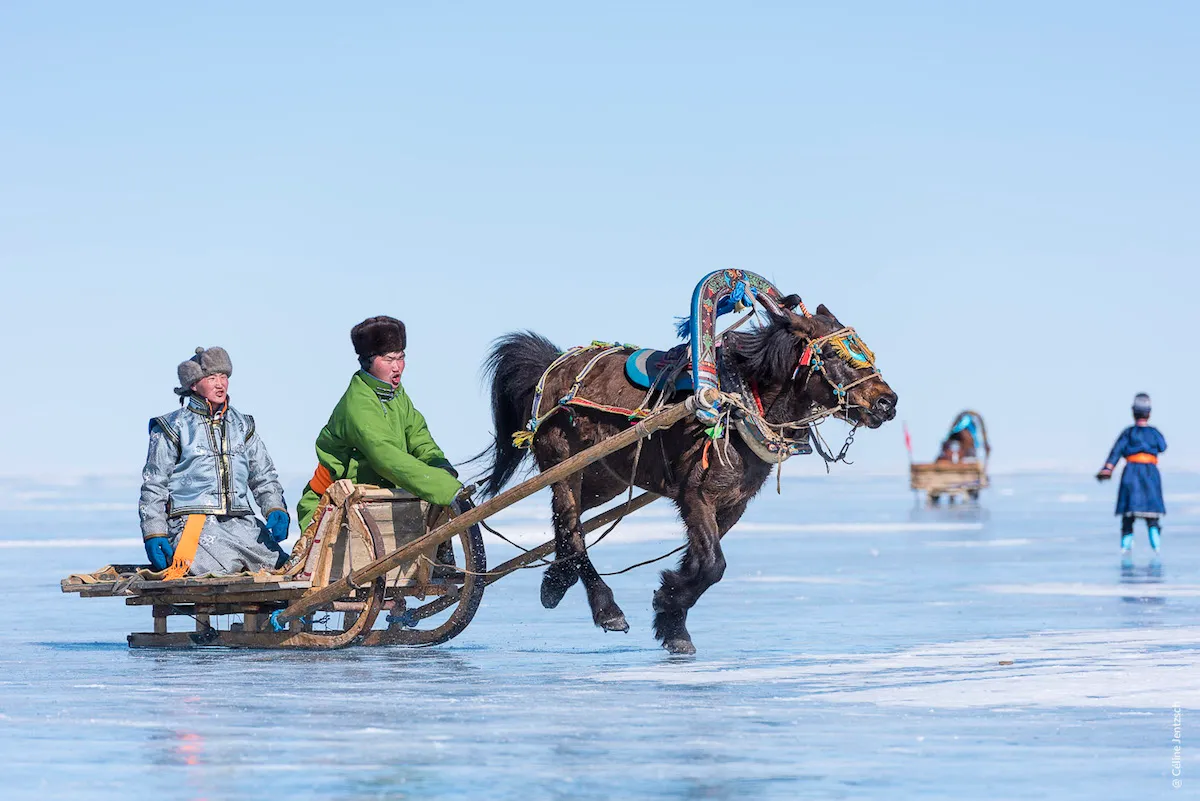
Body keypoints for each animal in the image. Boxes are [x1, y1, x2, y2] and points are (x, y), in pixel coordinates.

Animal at [477, 297, 902, 652]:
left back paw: (555, 582)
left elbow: (698, 563)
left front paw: (670, 618)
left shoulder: (734, 504)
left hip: (604, 477)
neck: (738, 404)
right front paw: (668, 604)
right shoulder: (696, 495)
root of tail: (553, 367)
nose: (887, 402)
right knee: (572, 528)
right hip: (565, 464)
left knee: (566, 526)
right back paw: (606, 608)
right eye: (834, 353)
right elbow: (713, 564)